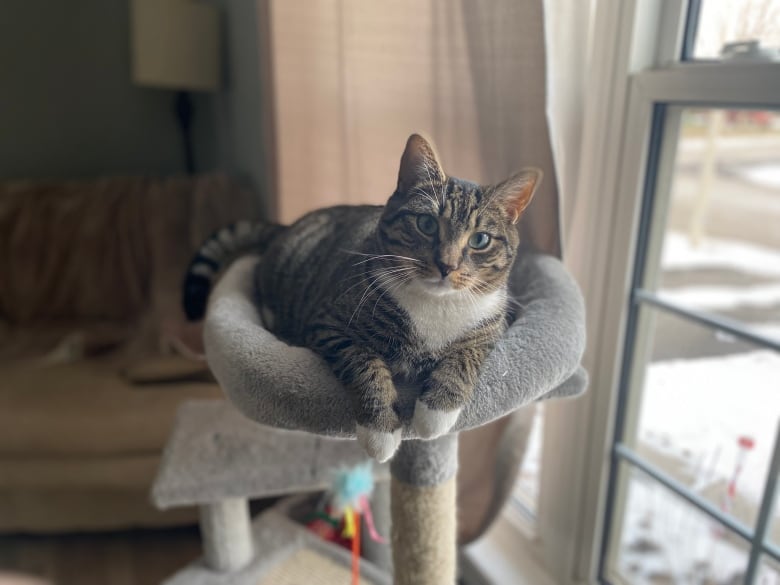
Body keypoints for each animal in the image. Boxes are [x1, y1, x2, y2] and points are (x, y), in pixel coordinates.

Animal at [184, 133, 540, 460]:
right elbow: (364, 363)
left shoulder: (492, 327)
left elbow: (467, 355)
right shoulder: (329, 324)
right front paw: (380, 431)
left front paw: (435, 413)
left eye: (480, 240)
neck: (434, 306)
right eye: (426, 223)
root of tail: (285, 227)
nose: (446, 265)